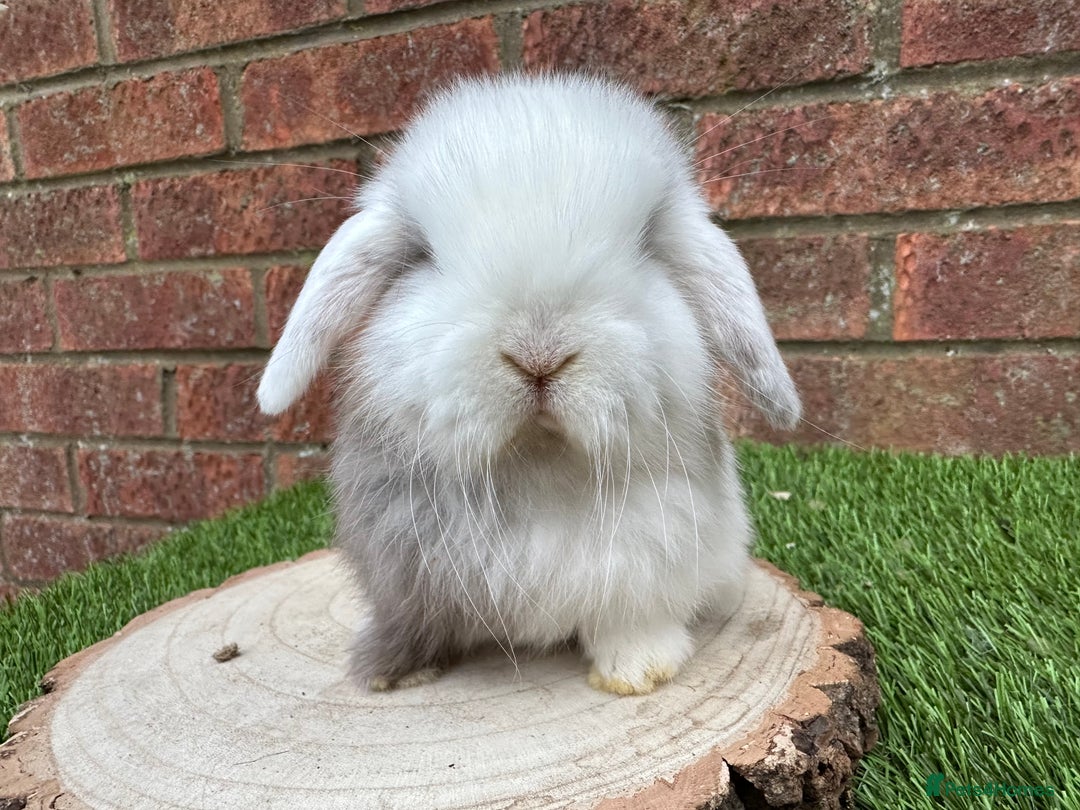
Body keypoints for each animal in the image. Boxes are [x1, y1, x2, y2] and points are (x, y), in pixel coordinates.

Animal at [257, 73, 800, 695]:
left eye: (646, 241)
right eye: (423, 254)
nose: (539, 356)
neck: (541, 467)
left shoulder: (654, 548)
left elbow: (634, 616)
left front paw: (637, 671)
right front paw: (392, 670)